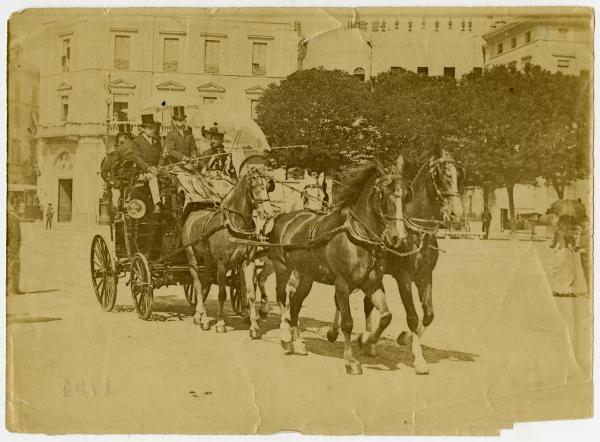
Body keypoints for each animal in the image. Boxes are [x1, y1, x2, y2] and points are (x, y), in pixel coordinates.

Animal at [182, 169, 276, 338]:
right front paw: (220, 323)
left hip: (208, 261)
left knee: (204, 284)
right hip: (192, 259)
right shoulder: (221, 264)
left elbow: (251, 293)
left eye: (267, 186)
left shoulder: (248, 263)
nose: (268, 213)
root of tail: (192, 215)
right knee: (197, 285)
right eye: (254, 186)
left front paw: (254, 326)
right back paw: (202, 318)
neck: (234, 223)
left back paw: (201, 316)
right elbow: (221, 294)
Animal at [270, 157, 408, 374]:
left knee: (295, 304)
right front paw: (350, 360)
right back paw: (285, 338)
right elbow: (348, 322)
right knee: (282, 297)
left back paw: (298, 343)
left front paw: (366, 340)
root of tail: (284, 217)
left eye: (406, 196)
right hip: (282, 268)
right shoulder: (342, 284)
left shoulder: (372, 283)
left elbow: (386, 316)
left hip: (306, 276)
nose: (398, 237)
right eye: (384, 195)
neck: (358, 237)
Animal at [328, 148, 464, 372]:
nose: (457, 213)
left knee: (366, 303)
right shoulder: (404, 279)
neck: (416, 232)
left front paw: (406, 338)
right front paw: (419, 359)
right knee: (344, 301)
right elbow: (413, 316)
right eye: (442, 175)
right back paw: (341, 333)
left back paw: (368, 341)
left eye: (459, 175)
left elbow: (428, 315)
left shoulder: (425, 276)